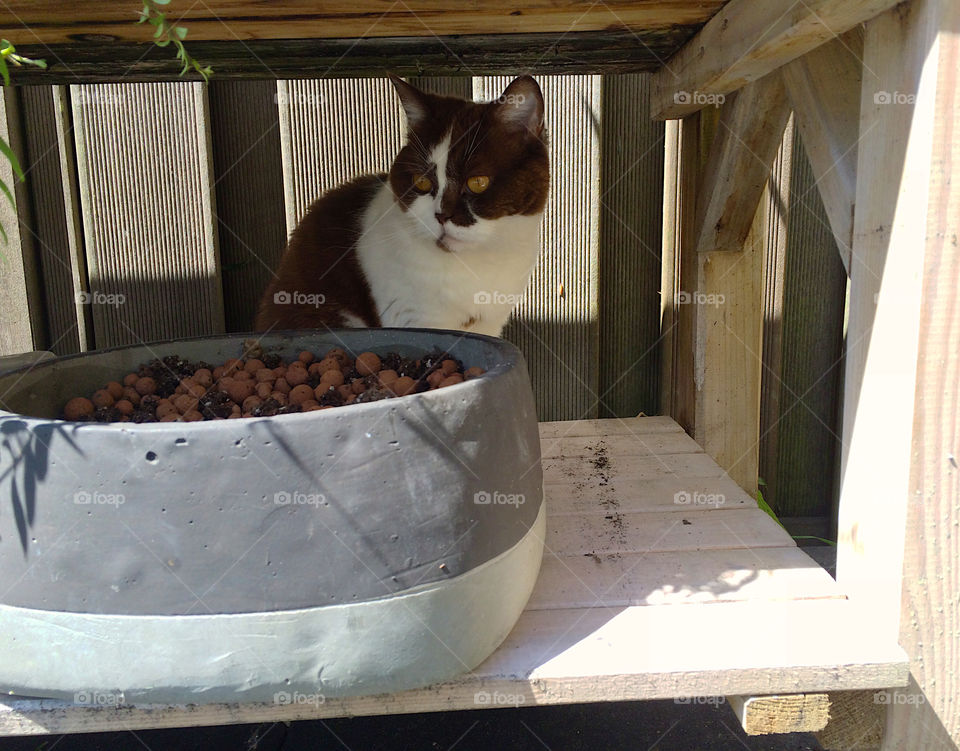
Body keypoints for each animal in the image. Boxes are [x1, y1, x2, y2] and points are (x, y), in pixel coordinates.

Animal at [255, 76, 552, 338]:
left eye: (478, 183)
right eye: (421, 182)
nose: (441, 215)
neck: (474, 264)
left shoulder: (491, 322)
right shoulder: (414, 318)